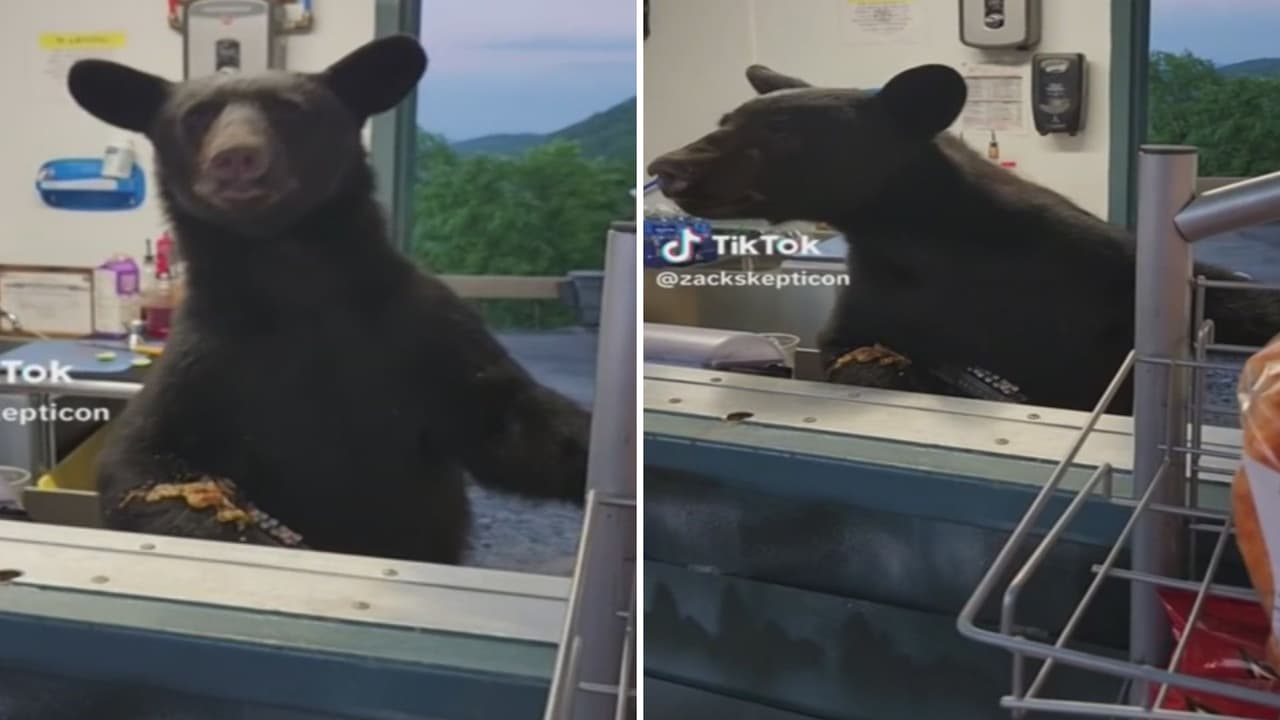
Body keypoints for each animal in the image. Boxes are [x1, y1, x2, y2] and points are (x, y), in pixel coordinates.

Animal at [66, 35, 591, 564]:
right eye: (196, 116)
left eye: (290, 109)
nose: (236, 157)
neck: (290, 275)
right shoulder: (204, 356)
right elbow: (142, 465)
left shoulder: (425, 330)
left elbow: (511, 423)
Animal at [646, 63, 1280, 414]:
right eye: (724, 120)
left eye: (780, 128)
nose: (666, 166)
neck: (915, 239)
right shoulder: (874, 294)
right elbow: (848, 348)